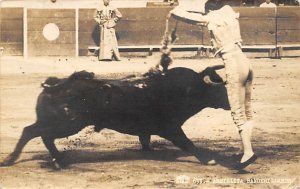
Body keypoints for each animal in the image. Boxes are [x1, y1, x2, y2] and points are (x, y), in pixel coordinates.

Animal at [0, 66, 230, 168]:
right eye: (220, 90)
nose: (230, 104)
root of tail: (55, 84)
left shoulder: (149, 129)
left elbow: (145, 139)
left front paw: (148, 151)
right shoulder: (171, 128)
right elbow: (188, 143)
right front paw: (208, 160)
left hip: (59, 123)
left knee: (41, 135)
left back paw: (59, 161)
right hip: (66, 124)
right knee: (33, 132)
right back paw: (11, 160)